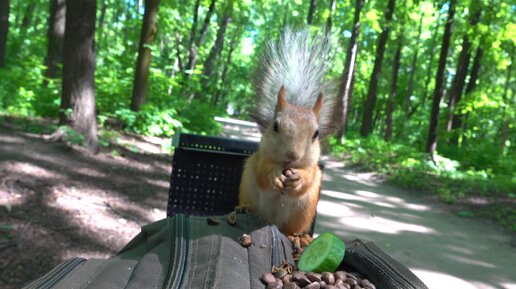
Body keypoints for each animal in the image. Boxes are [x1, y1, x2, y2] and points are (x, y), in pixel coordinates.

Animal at [239, 28, 338, 237]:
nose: (292, 156)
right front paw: (274, 176)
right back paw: (243, 208)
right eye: (275, 126)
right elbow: (263, 171)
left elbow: (308, 176)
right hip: (248, 191)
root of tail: (272, 222)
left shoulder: (312, 166)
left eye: (316, 134)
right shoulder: (260, 157)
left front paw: (298, 179)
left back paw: (297, 238)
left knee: (291, 230)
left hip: (303, 212)